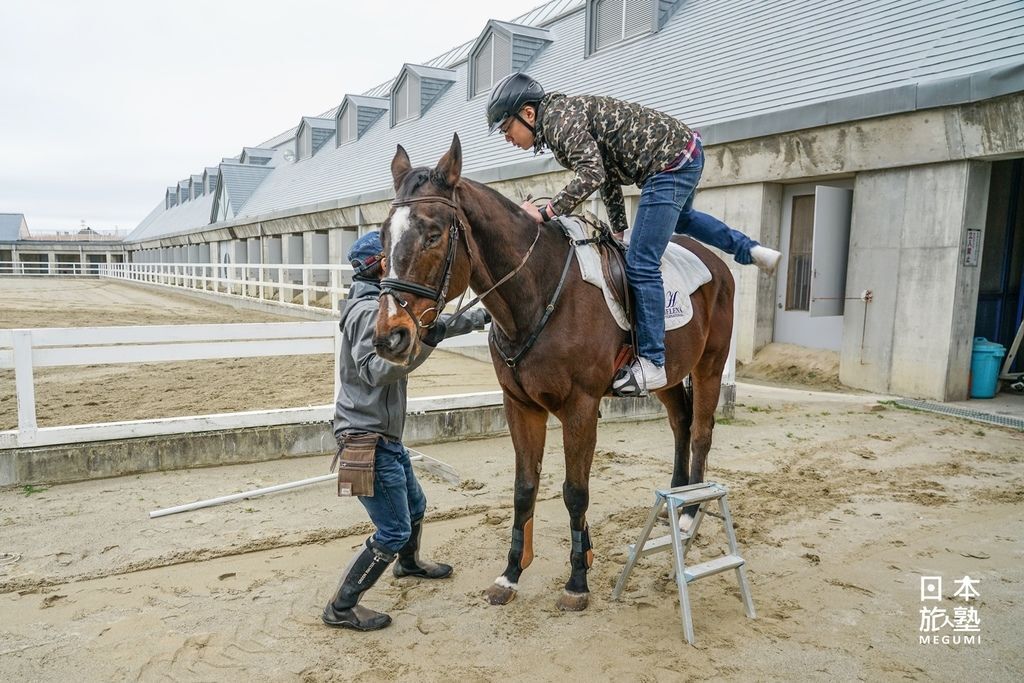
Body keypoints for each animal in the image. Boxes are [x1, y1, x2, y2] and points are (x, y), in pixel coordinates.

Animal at [372, 132, 733, 610]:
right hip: (671, 375)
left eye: (433, 233)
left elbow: (574, 491)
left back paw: (690, 513)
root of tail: (716, 264)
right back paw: (676, 500)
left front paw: (577, 580)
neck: (539, 294)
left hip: (710, 364)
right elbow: (525, 488)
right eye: (382, 235)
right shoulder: (521, 406)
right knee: (681, 423)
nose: (390, 335)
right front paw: (510, 574)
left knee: (701, 432)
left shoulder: (580, 408)